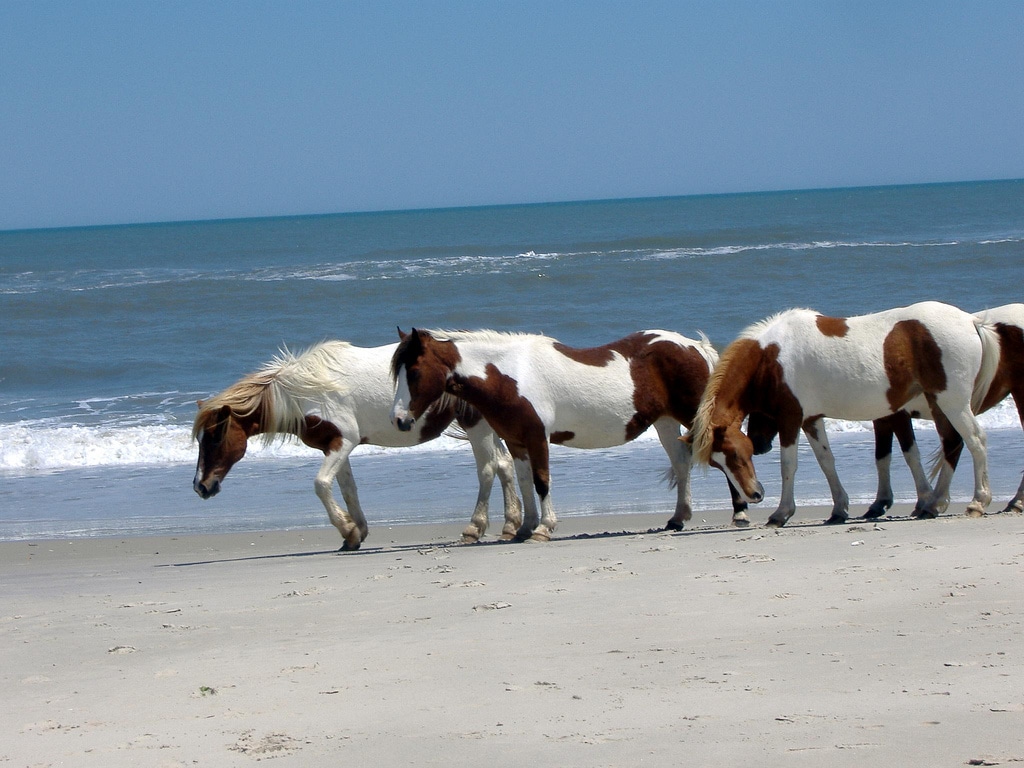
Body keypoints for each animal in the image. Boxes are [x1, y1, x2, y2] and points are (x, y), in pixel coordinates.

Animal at [192, 339, 524, 548]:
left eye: (215, 436)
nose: (201, 487)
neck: (303, 393)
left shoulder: (343, 442)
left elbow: (321, 485)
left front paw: (349, 530)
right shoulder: (335, 446)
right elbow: (346, 488)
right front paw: (356, 532)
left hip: (476, 424)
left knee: (488, 469)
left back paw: (474, 528)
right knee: (505, 464)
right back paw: (510, 526)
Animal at [391, 327, 753, 544]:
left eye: (415, 372)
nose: (399, 420)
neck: (508, 375)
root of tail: (696, 346)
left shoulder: (537, 437)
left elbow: (541, 481)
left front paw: (543, 528)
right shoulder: (516, 441)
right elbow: (525, 481)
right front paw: (524, 527)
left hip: (693, 417)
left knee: (721, 454)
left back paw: (740, 512)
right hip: (664, 421)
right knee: (681, 462)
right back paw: (678, 518)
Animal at [688, 303, 999, 528]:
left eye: (736, 454)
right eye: (717, 464)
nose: (754, 496)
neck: (771, 358)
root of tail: (971, 321)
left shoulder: (790, 418)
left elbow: (788, 465)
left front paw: (781, 513)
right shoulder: (810, 420)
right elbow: (827, 462)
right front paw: (839, 509)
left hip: (952, 402)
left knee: (975, 440)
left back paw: (977, 502)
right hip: (940, 403)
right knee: (952, 443)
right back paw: (934, 503)